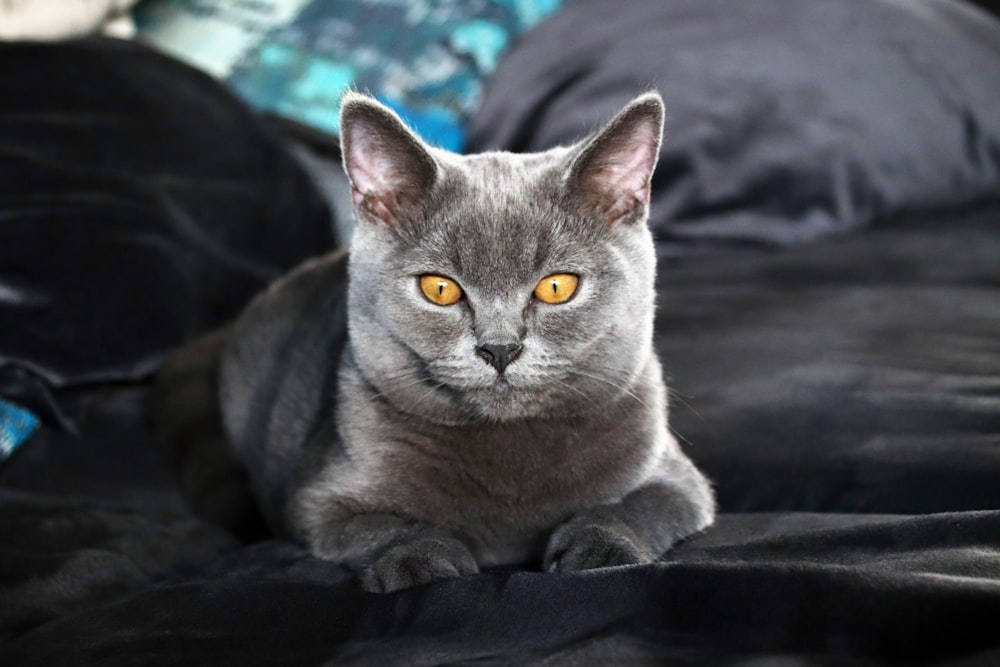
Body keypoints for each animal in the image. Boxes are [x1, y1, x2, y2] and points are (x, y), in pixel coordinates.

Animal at [221, 90, 720, 596]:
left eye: (557, 287)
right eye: (439, 289)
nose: (499, 348)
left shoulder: (680, 480)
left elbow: (641, 507)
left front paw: (600, 553)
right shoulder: (319, 502)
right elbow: (384, 526)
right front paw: (420, 563)